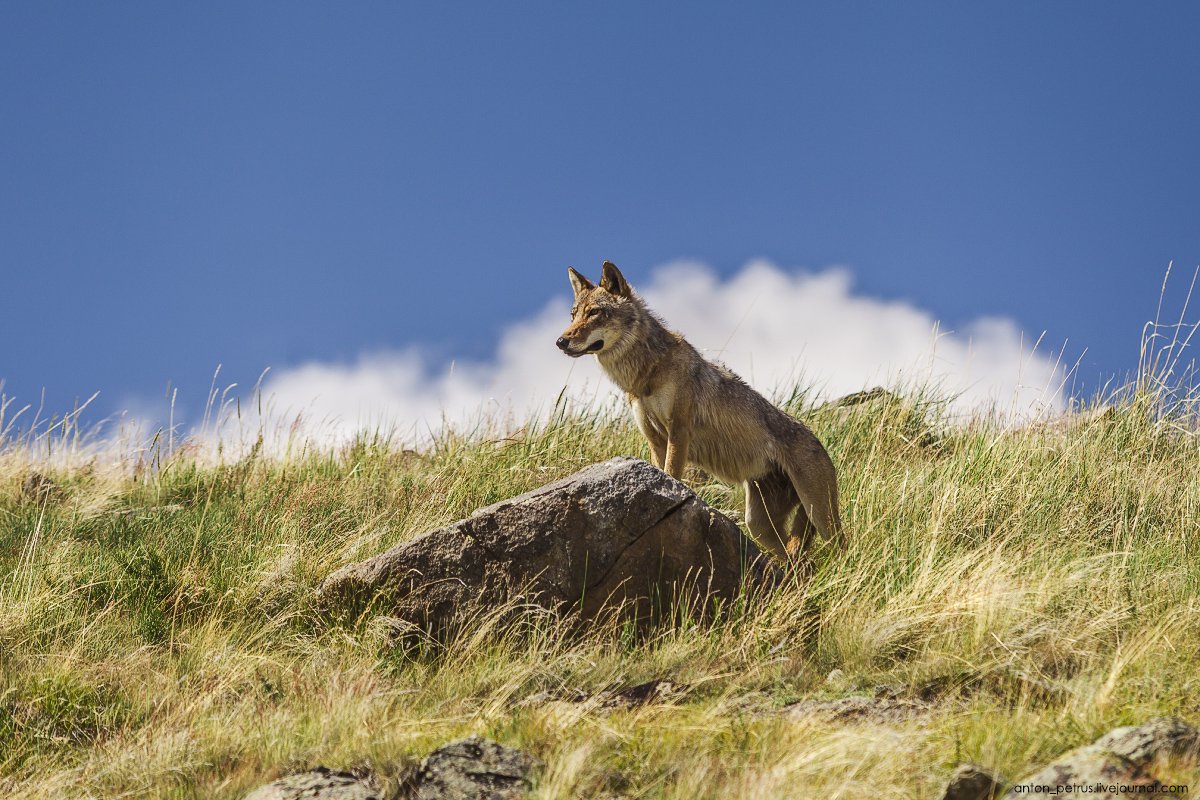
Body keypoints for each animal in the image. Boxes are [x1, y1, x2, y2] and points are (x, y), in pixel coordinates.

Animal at [554, 262, 844, 563]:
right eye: (574, 315)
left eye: (594, 313)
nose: (560, 341)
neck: (647, 372)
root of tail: (820, 443)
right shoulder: (655, 440)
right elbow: (662, 470)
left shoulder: (679, 430)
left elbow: (672, 474)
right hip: (758, 525)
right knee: (796, 559)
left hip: (820, 517)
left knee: (840, 545)